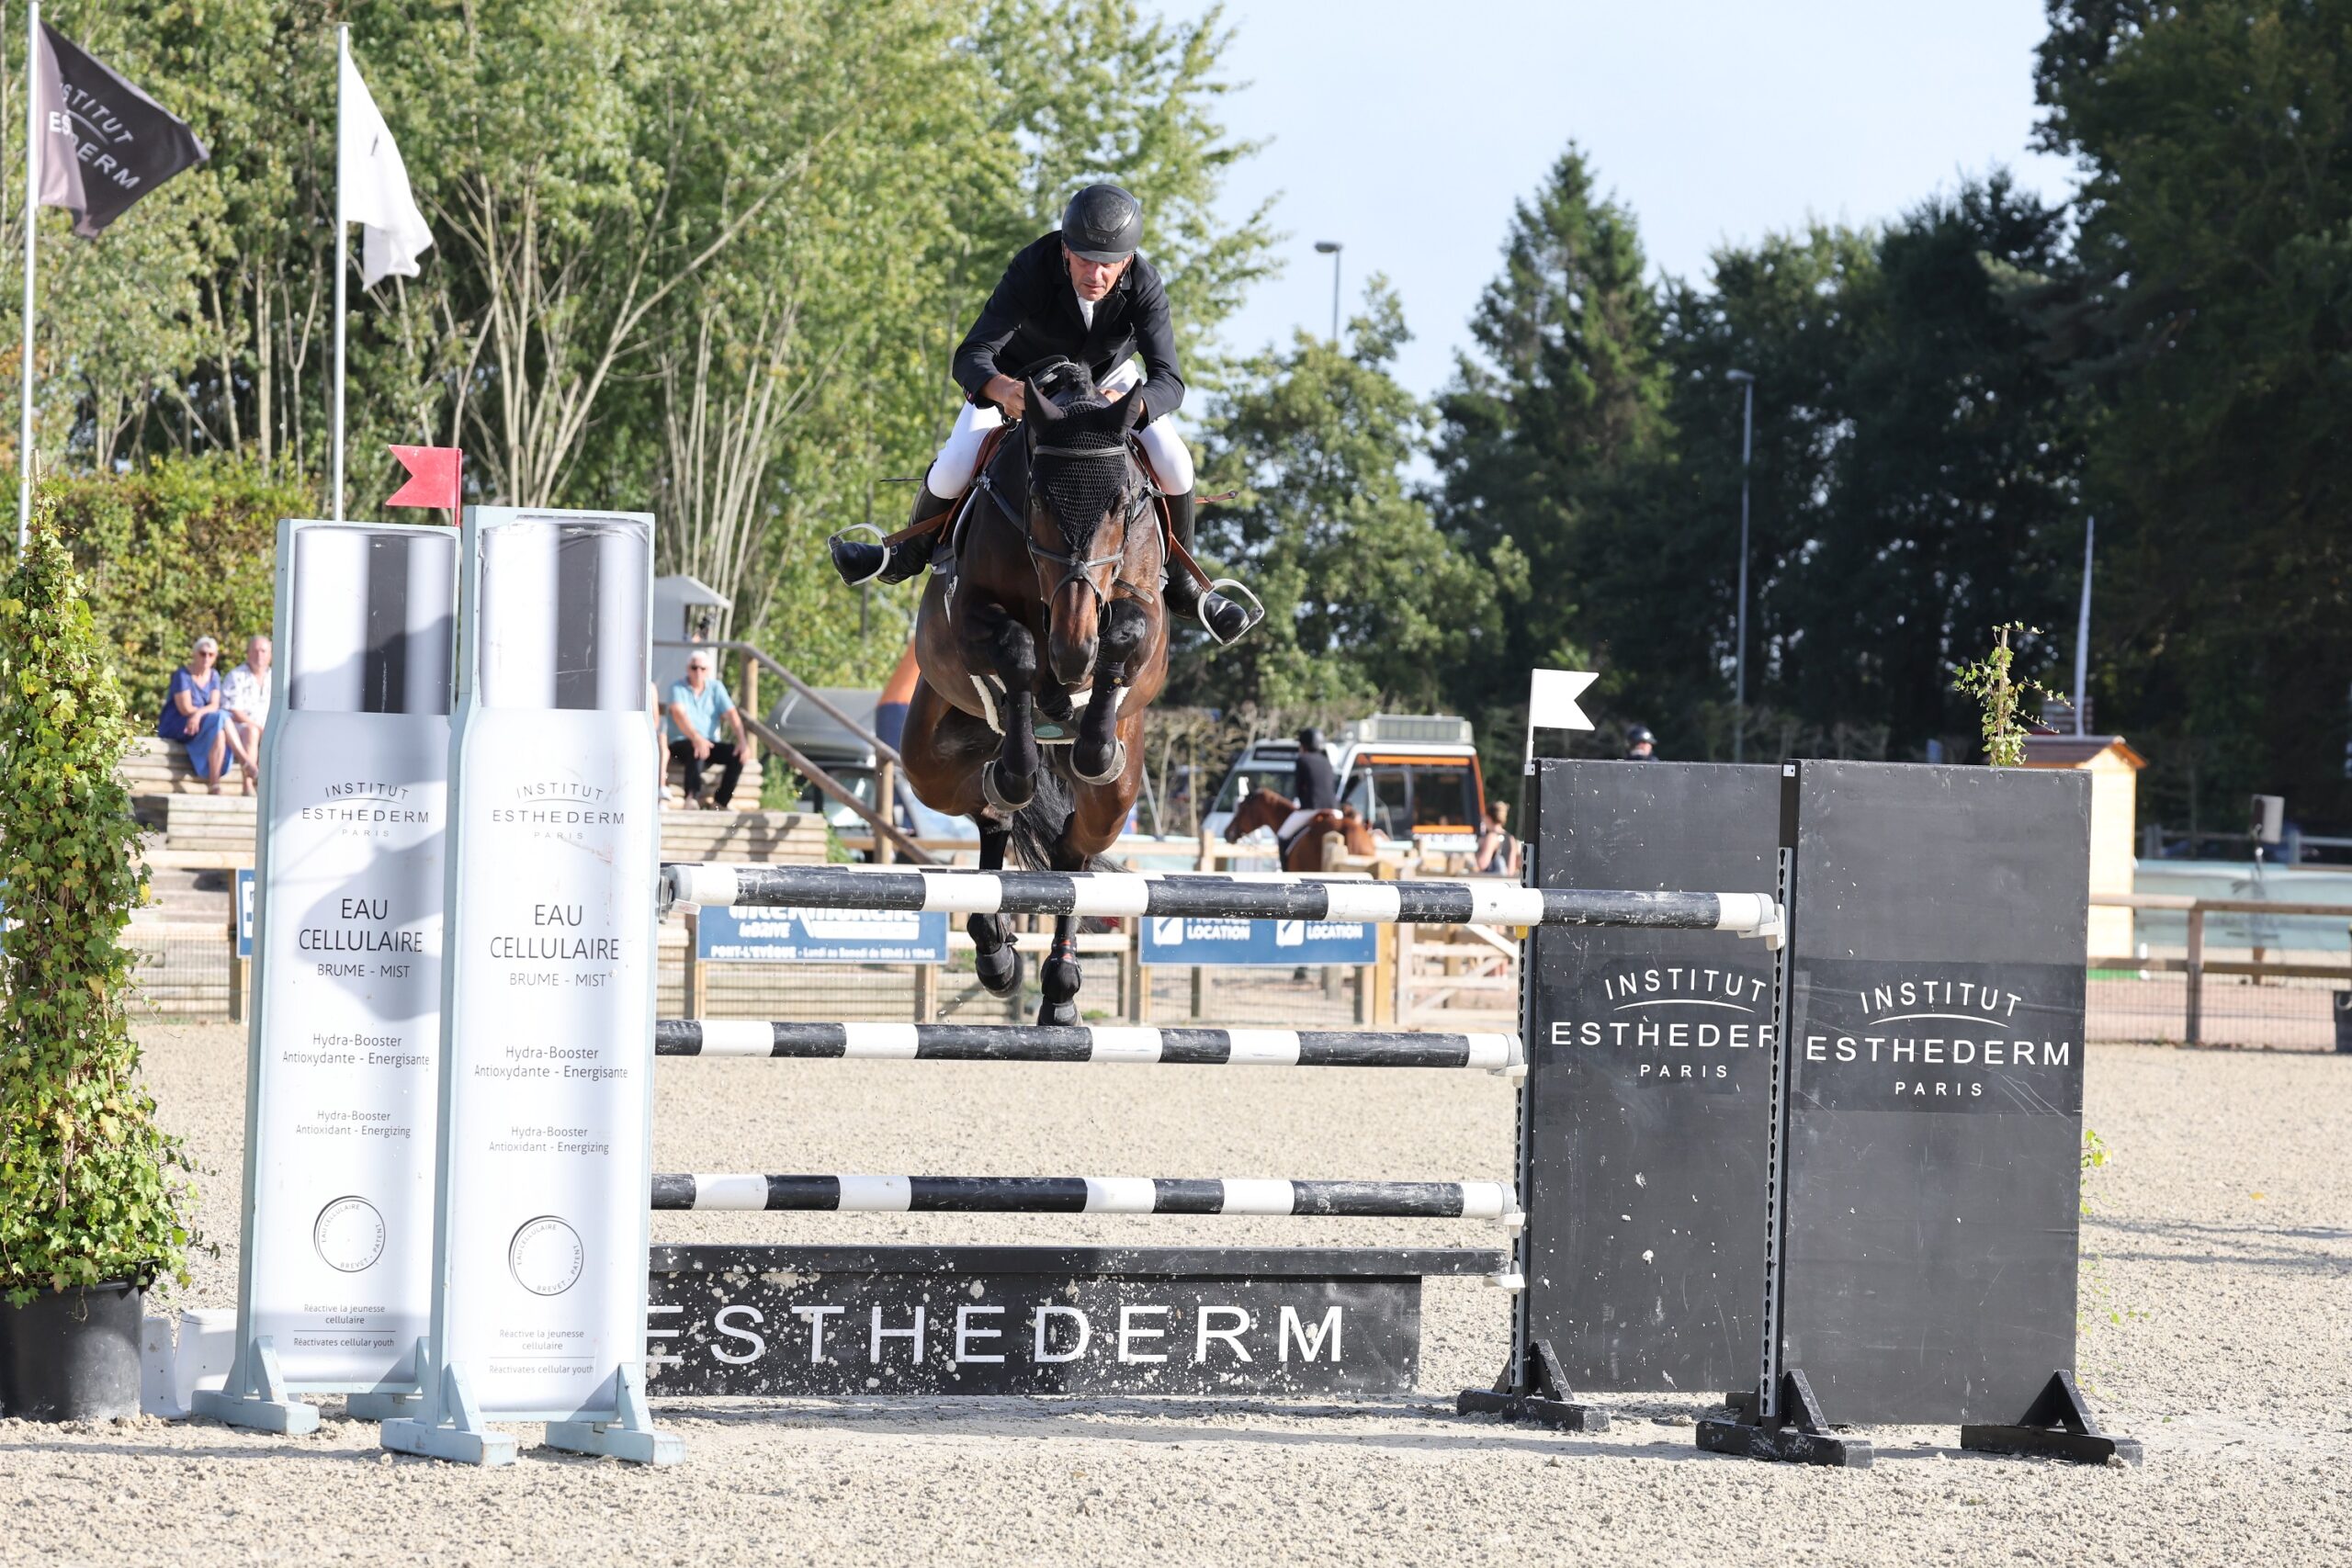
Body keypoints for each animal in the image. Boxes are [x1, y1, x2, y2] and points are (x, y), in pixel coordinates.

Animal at [893, 368, 1170, 1029]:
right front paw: (1020, 768)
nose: (1072, 650)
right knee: (990, 809)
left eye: (1122, 504)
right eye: (1040, 501)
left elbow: (1127, 632)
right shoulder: (971, 612)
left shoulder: (1142, 607)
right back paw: (996, 950)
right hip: (931, 761)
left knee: (1073, 851)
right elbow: (1016, 649)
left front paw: (1092, 741)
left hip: (1117, 800)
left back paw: (1061, 988)